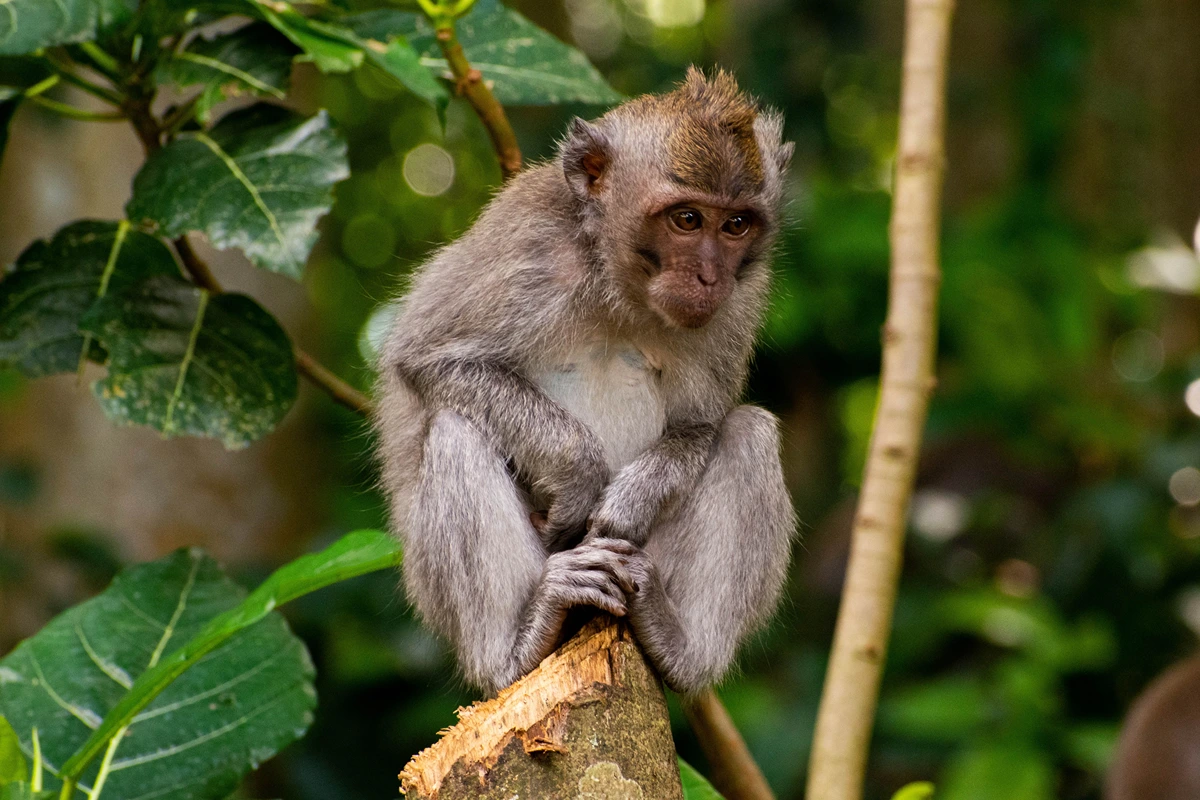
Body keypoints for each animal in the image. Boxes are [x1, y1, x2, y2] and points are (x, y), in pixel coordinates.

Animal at [374, 67, 796, 696]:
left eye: (736, 224)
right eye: (687, 219)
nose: (708, 277)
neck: (619, 285)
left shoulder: (740, 302)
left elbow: (700, 426)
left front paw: (629, 500)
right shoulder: (525, 242)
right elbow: (430, 359)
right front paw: (579, 474)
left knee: (750, 432)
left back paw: (679, 649)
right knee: (456, 428)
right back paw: (517, 647)